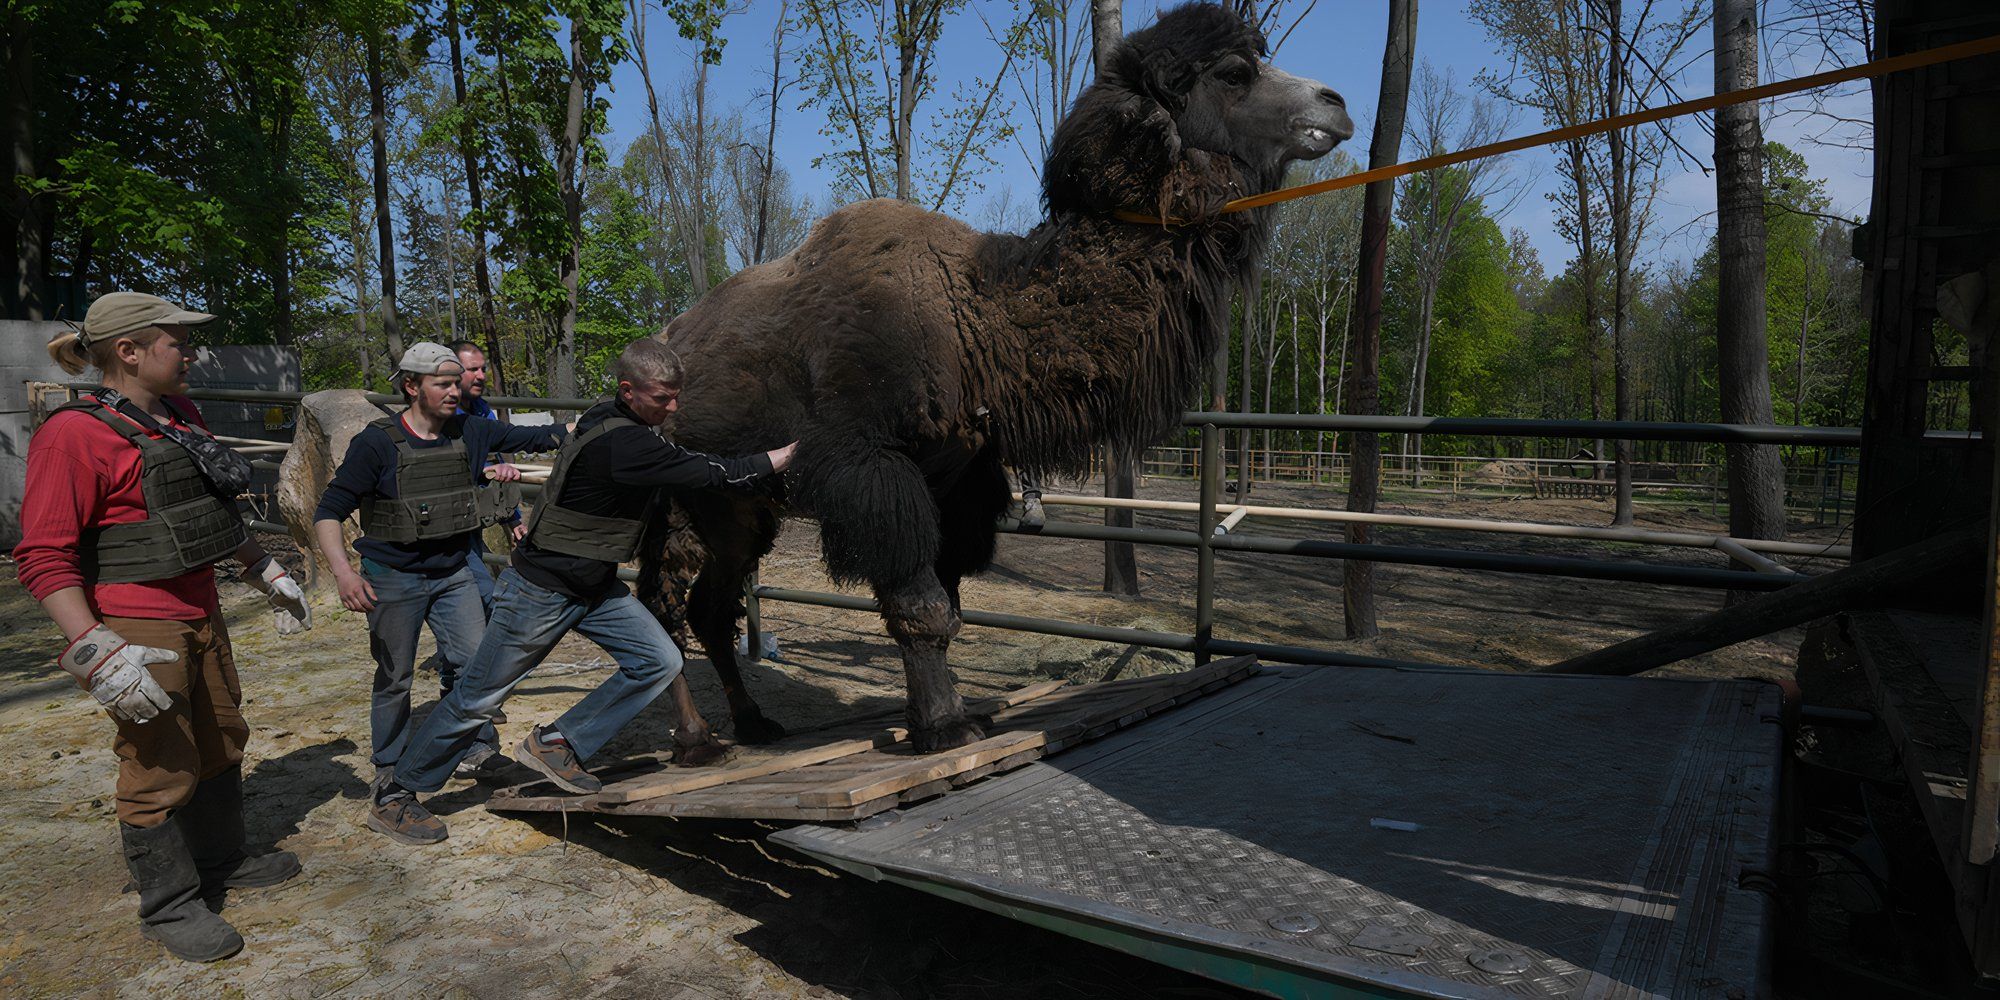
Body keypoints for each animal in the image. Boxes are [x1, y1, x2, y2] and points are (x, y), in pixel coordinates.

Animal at [648, 1, 1352, 756]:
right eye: (1233, 73)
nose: (1336, 105)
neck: (977, 319)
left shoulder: (960, 484)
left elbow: (950, 604)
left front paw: (943, 716)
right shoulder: (872, 471)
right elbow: (921, 606)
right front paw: (946, 728)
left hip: (737, 509)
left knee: (707, 606)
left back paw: (752, 723)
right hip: (683, 500)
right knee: (662, 605)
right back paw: (695, 740)